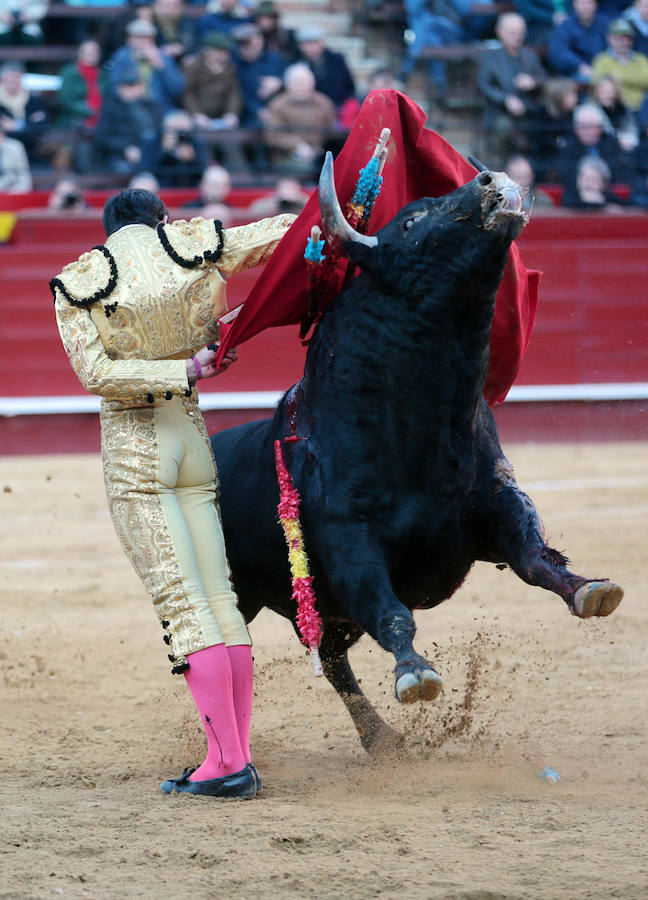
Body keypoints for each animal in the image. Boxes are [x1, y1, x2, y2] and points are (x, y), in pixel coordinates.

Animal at [211, 158, 624, 756]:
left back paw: (380, 738)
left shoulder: (500, 502)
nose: (489, 178)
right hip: (237, 593)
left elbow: (537, 558)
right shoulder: (351, 539)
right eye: (408, 223)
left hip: (324, 613)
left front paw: (590, 589)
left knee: (331, 661)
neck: (426, 429)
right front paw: (416, 673)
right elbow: (394, 614)